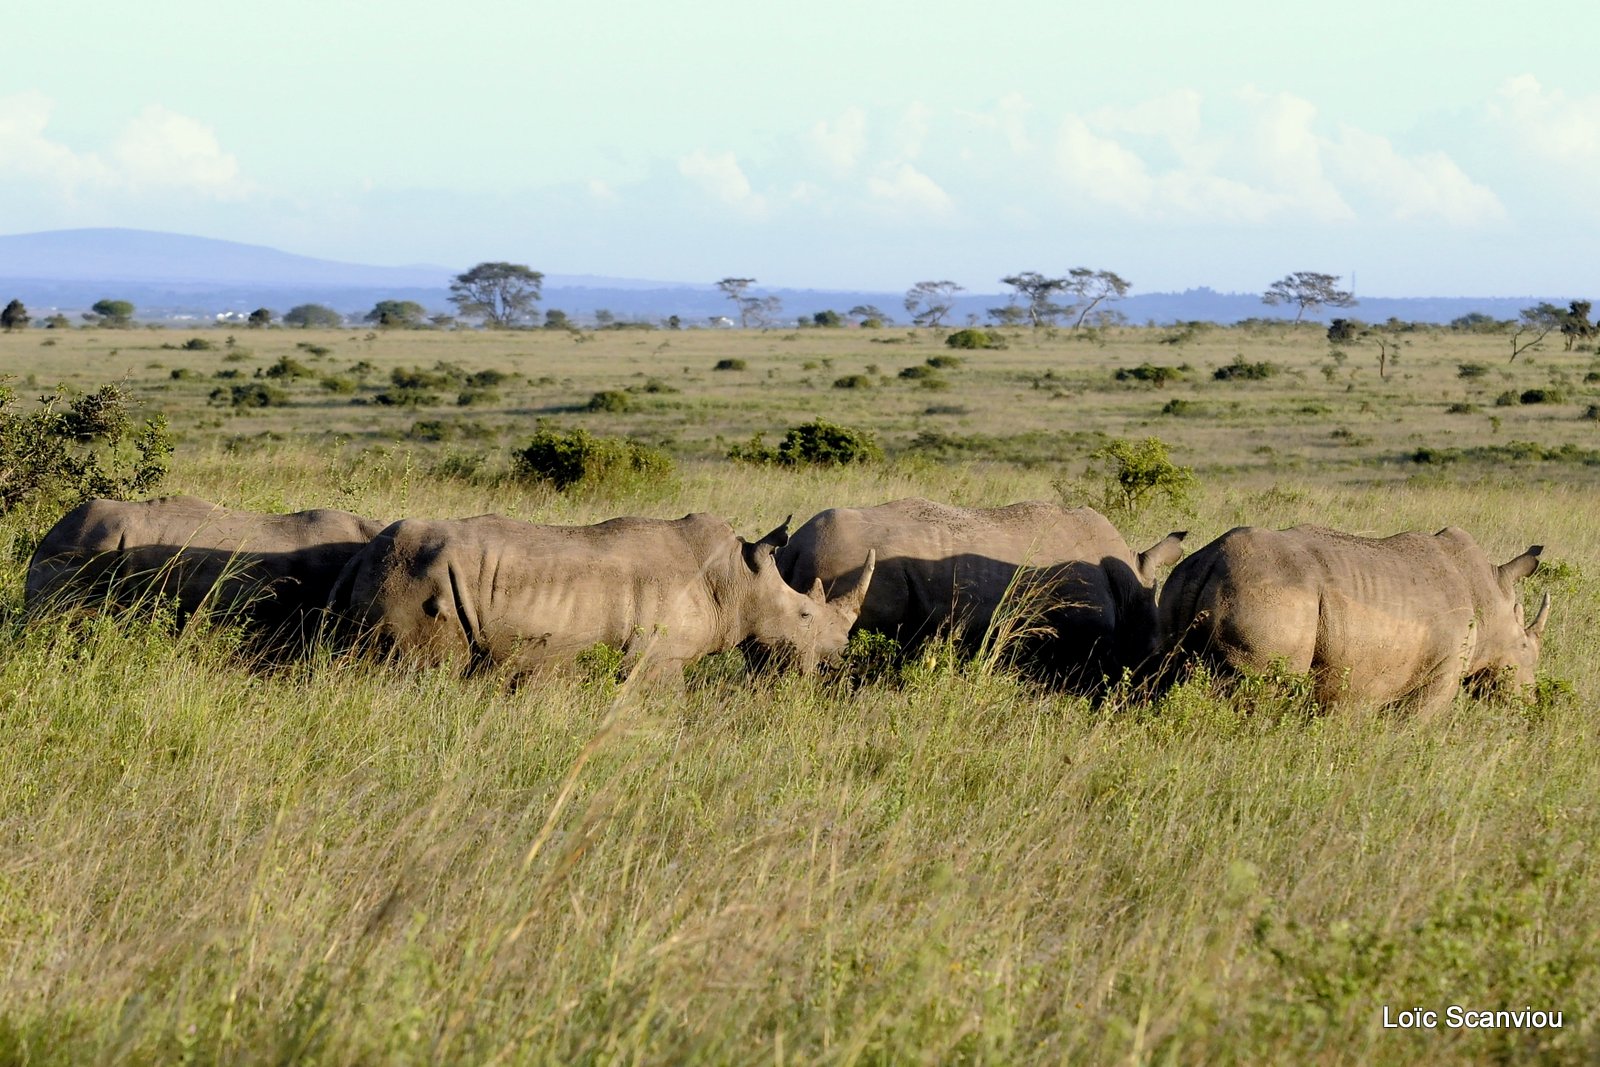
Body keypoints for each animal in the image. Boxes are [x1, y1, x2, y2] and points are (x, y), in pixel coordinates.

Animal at [326, 511, 876, 681]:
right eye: (805, 616)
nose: (837, 658)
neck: (738, 580)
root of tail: (365, 553)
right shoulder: (657, 658)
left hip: (397, 571)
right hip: (418, 578)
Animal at [1158, 527, 1555, 716]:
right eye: (1525, 648)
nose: (1529, 701)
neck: (1490, 596)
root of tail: (1209, 560)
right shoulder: (1441, 673)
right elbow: (1413, 723)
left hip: (1182, 586)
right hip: (1270, 597)